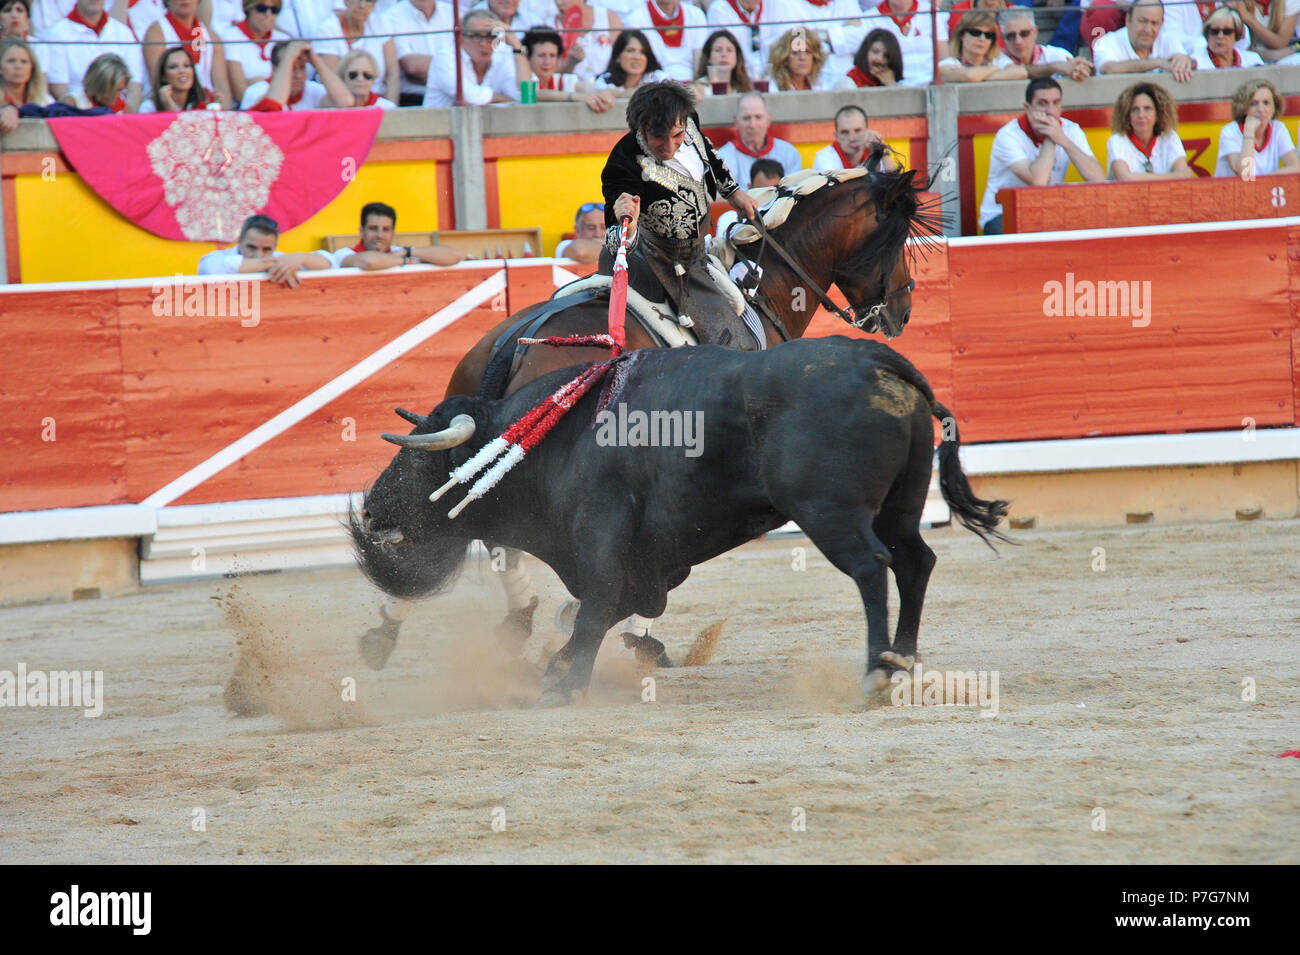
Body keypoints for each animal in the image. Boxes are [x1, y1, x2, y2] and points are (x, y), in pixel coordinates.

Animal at [351, 335, 1008, 701]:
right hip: (900, 506)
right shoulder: (644, 564)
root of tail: (878, 356)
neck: (551, 437)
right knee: (915, 561)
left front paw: (565, 684)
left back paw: (875, 671)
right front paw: (559, 666)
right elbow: (604, 611)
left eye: (418, 460)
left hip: (832, 514)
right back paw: (903, 660)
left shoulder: (601, 536)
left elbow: (595, 608)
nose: (374, 506)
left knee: (874, 567)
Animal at [361, 157, 941, 670]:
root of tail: (514, 343)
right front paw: (630, 635)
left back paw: (403, 626)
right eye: (895, 241)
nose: (902, 311)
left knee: (456, 516)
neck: (758, 291)